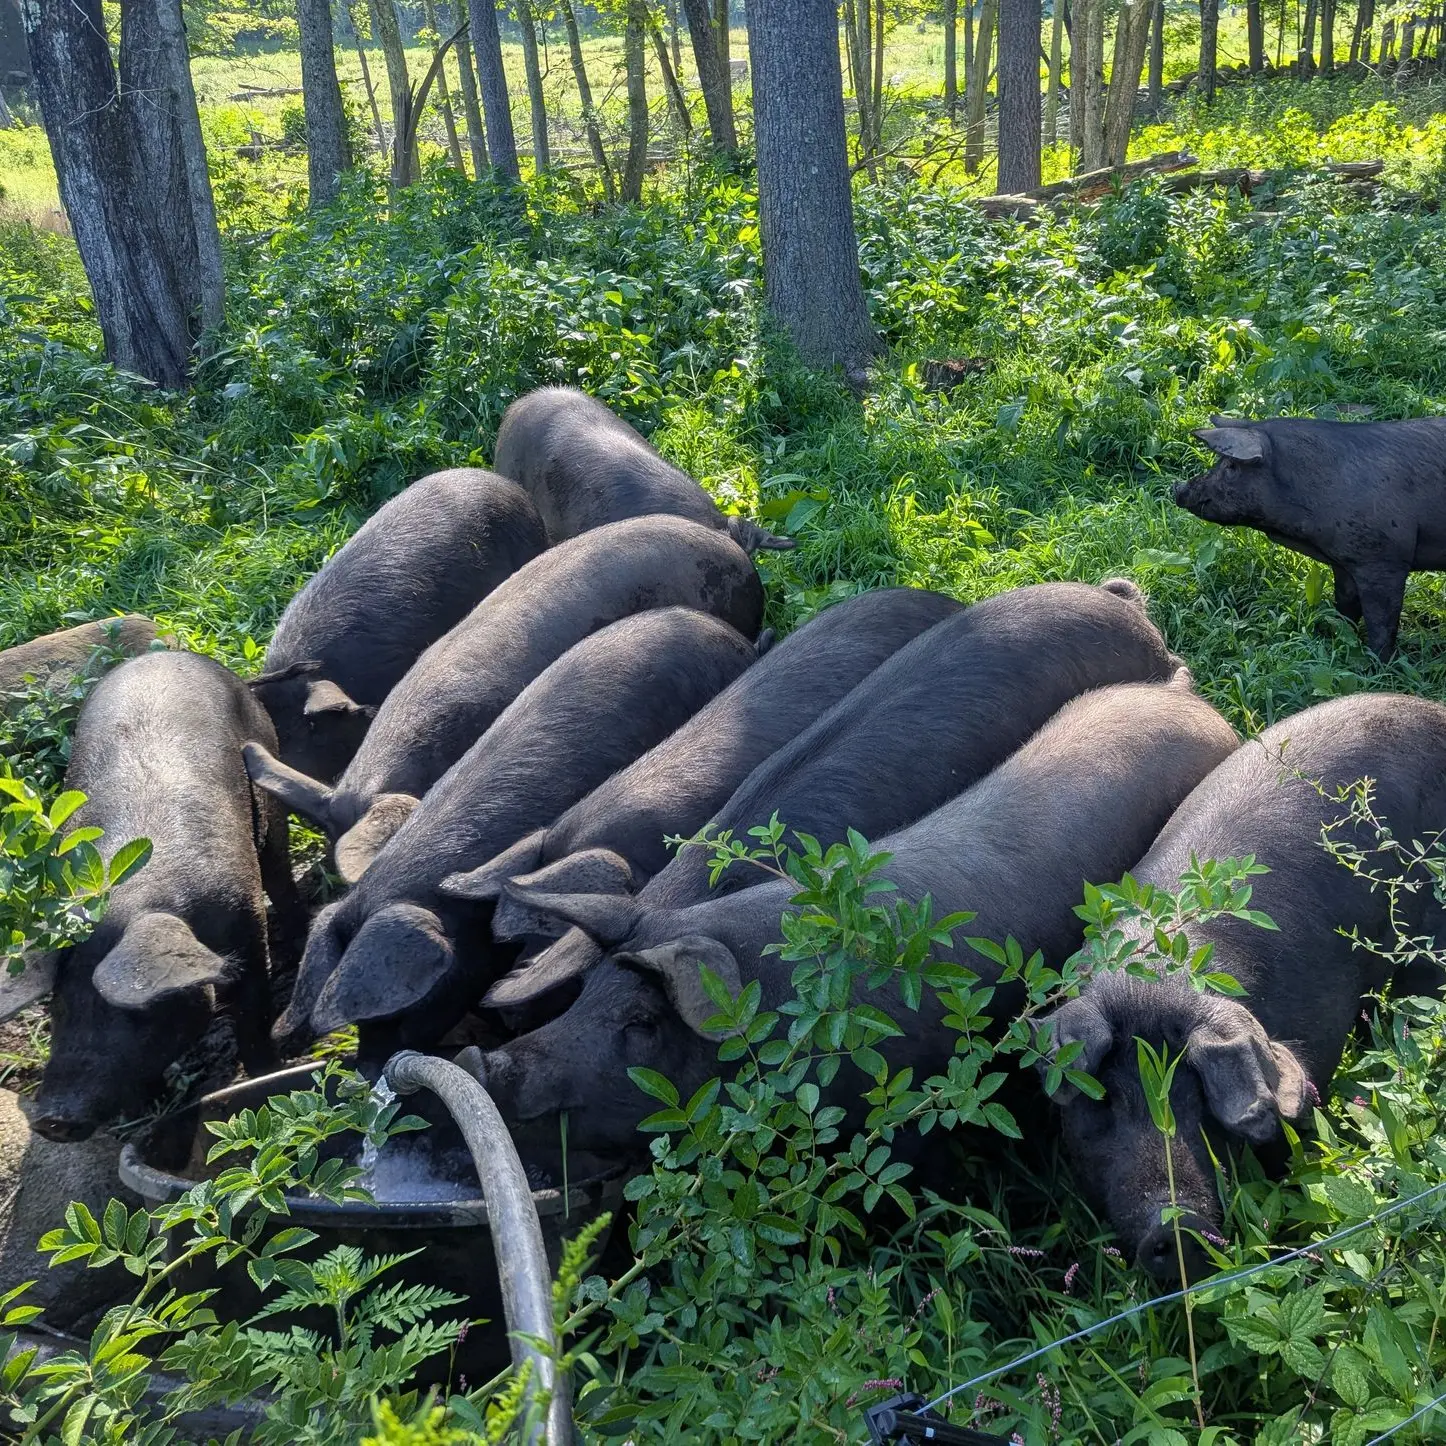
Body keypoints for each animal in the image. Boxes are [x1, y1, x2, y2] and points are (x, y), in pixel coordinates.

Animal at [8, 651, 304, 1143]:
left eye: (134, 1011)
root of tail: (168, 653)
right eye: (60, 1006)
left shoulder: (245, 924)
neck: (131, 898)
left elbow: (253, 1014)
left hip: (269, 773)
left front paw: (267, 1075)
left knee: (281, 875)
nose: (53, 1119)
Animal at [1179, 415, 1446, 659]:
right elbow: (1345, 606)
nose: (1177, 488)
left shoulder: (1384, 560)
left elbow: (1381, 623)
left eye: (1231, 467)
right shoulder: (1345, 561)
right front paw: (1338, 641)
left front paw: (1379, 665)